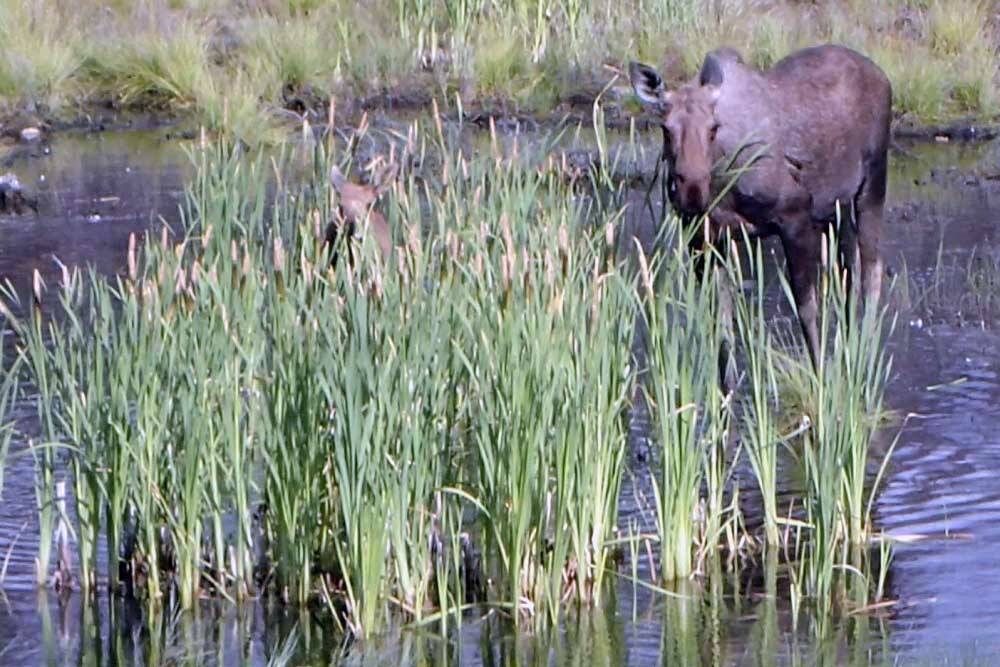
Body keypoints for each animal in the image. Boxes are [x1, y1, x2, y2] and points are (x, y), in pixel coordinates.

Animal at [628, 46, 896, 370]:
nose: (692, 192)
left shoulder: (796, 220)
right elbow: (722, 326)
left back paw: (864, 355)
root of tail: (881, 75)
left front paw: (820, 376)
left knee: (871, 269)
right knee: (849, 271)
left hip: (873, 183)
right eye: (666, 129)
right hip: (837, 209)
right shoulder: (704, 239)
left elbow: (807, 311)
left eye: (713, 129)